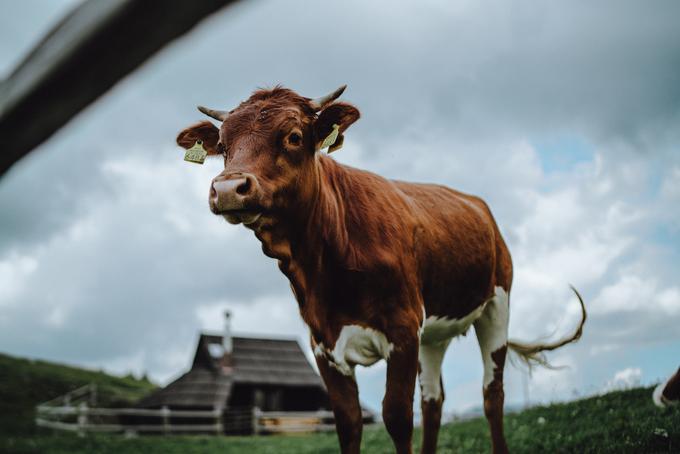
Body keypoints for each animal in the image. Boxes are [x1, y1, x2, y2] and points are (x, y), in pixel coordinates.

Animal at [175, 85, 584, 454]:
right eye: (223, 146)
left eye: (293, 136)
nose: (229, 188)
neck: (326, 264)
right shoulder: (324, 344)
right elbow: (349, 423)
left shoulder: (402, 330)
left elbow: (397, 418)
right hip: (433, 335)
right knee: (433, 401)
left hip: (496, 306)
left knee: (491, 392)